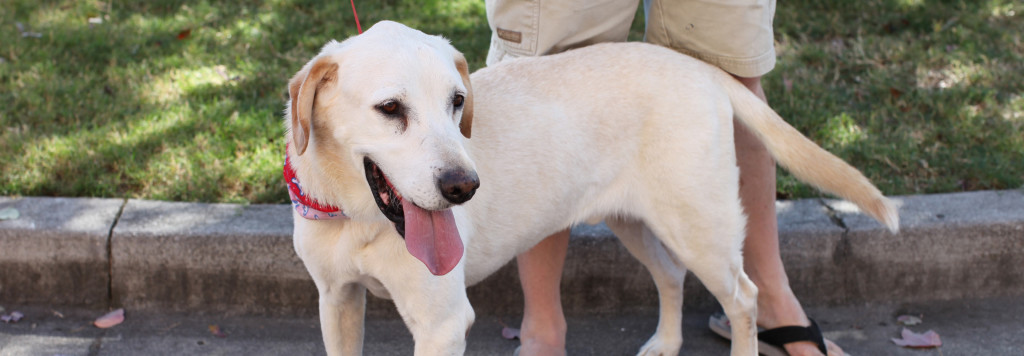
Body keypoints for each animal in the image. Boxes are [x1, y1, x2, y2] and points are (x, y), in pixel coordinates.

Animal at [286, 21, 897, 356]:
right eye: (390, 109)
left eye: (457, 101)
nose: (466, 188)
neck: (356, 217)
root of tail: (697, 66)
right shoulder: (337, 300)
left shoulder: (441, 325)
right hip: (635, 221)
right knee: (671, 275)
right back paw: (666, 344)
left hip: (700, 228)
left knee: (744, 297)